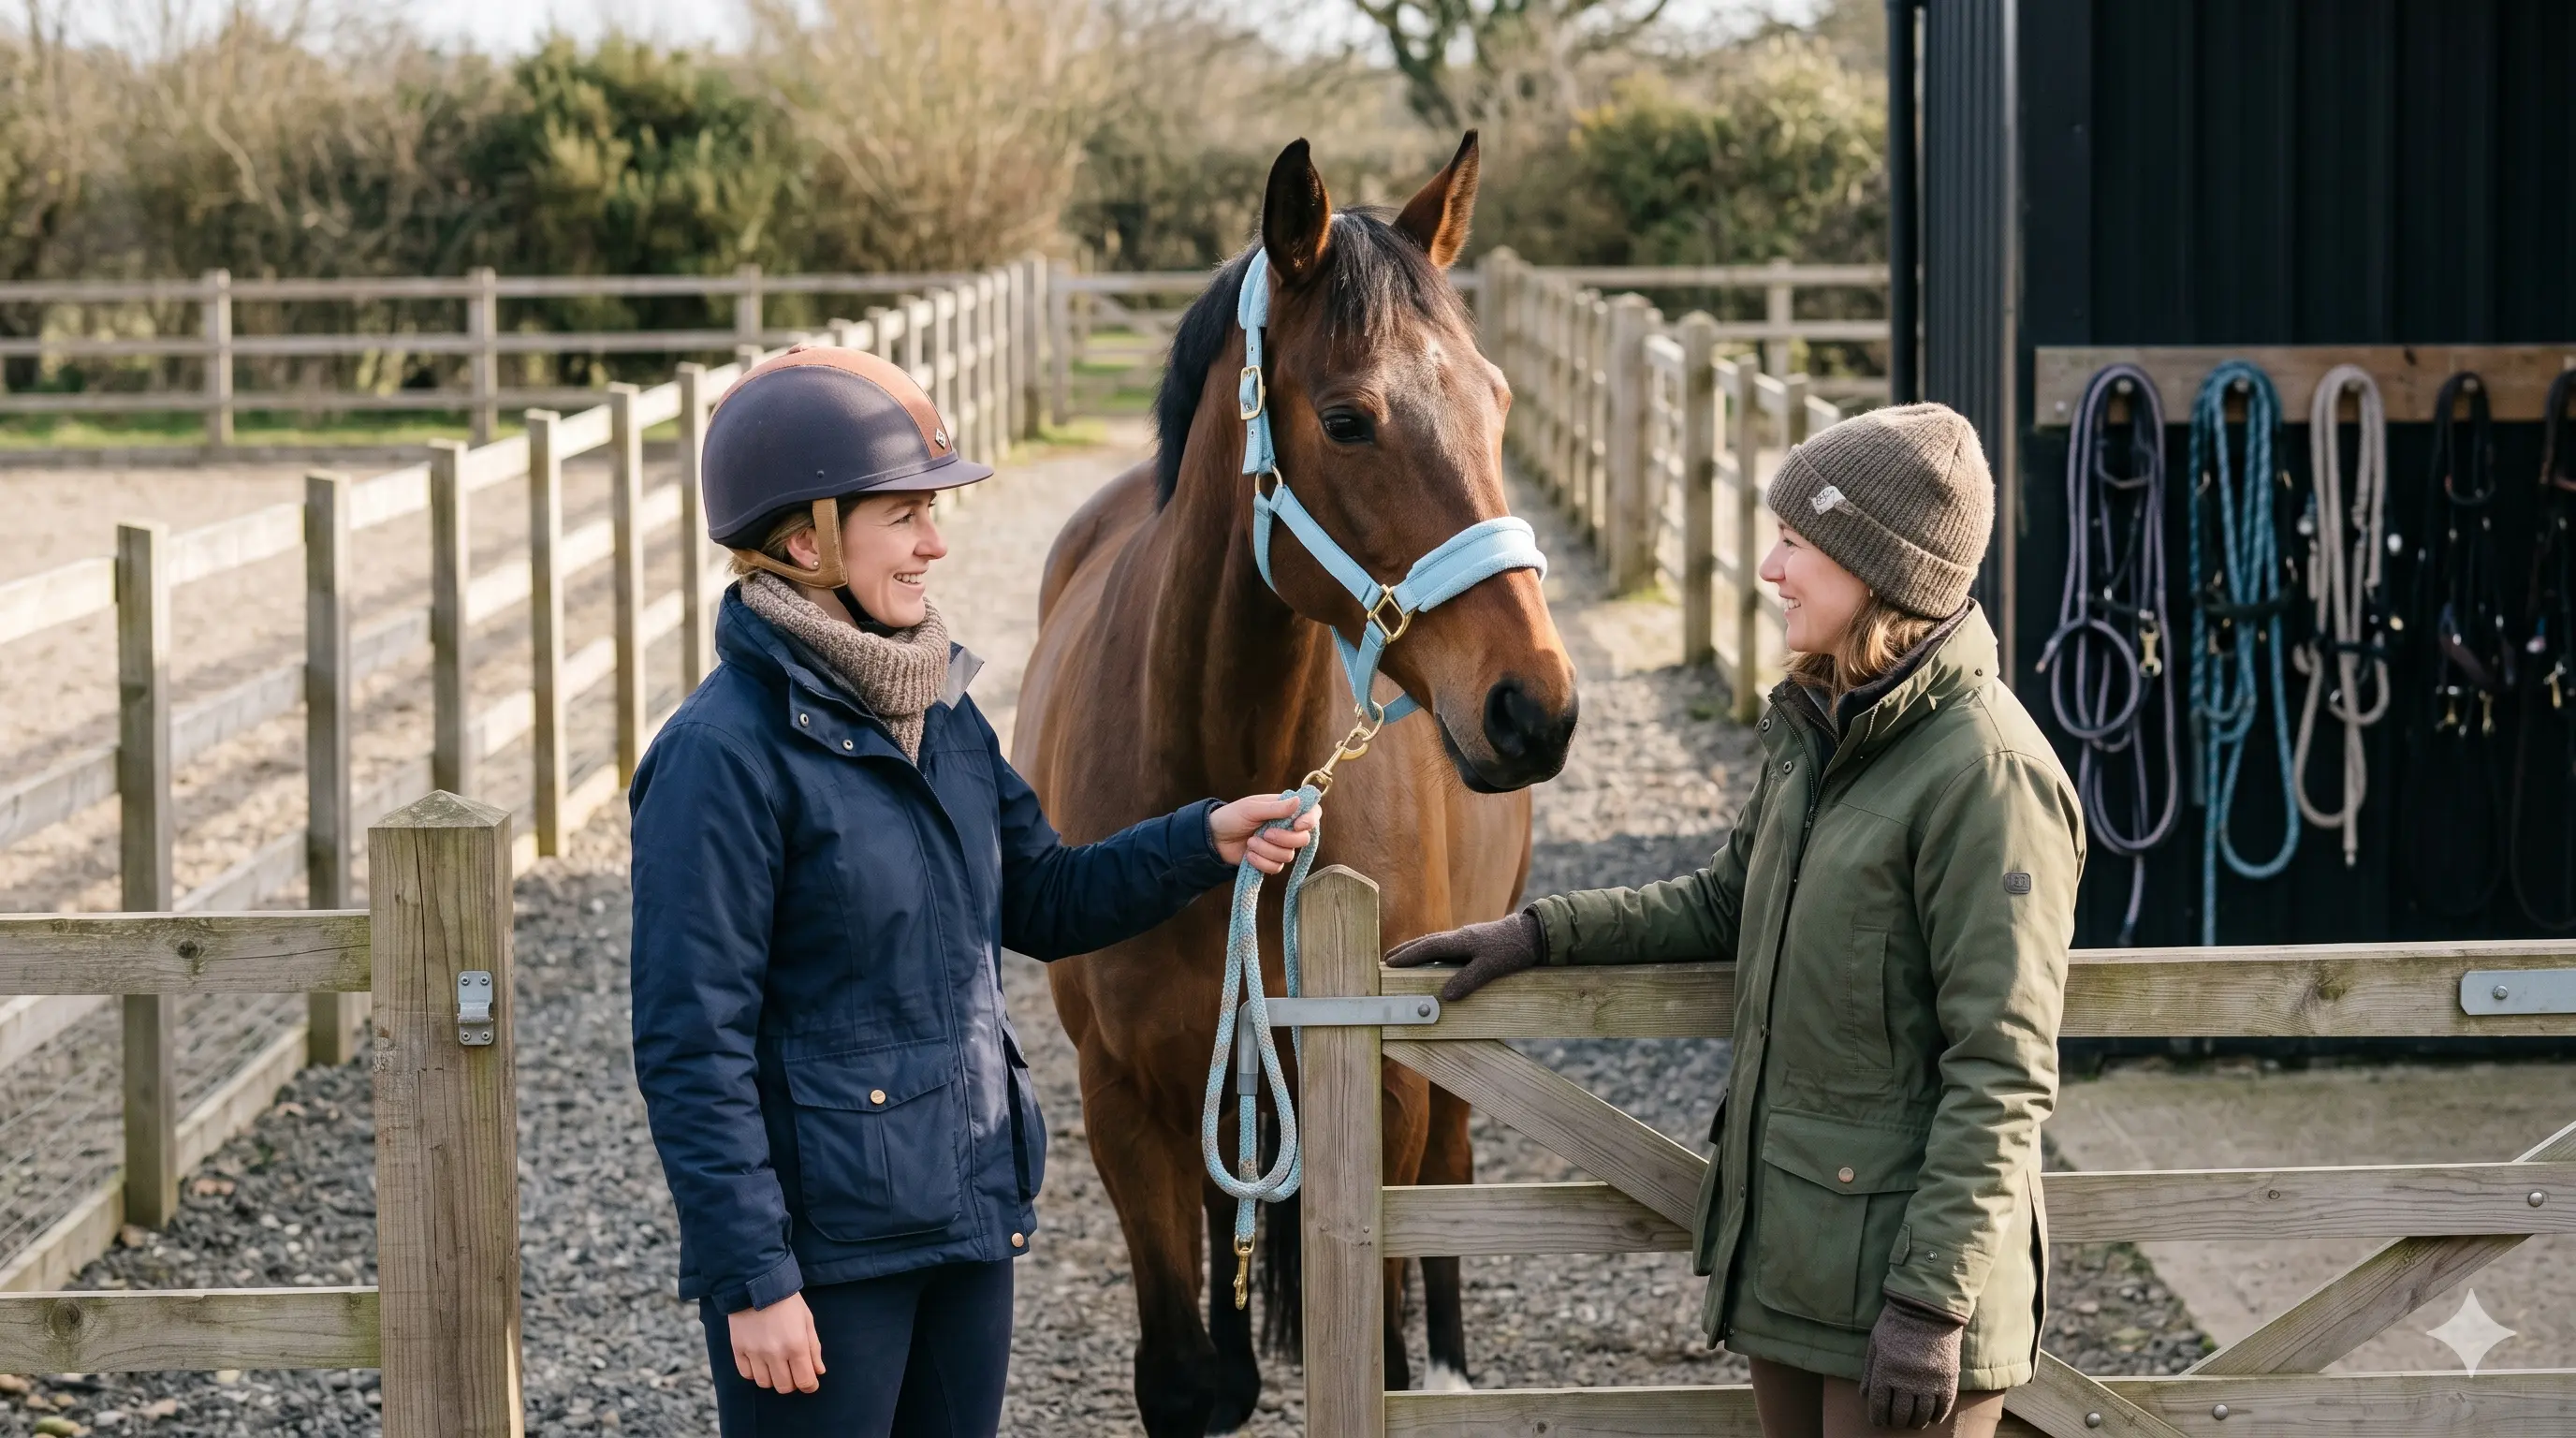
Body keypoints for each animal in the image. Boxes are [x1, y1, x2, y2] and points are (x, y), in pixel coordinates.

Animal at [1012, 132, 1579, 1435]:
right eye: (1349, 419)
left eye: (1496, 400)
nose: (1534, 707)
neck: (1223, 758)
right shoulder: (1125, 1101)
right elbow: (1192, 1377)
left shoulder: (1386, 1088)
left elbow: (1373, 1348)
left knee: (1452, 1183)